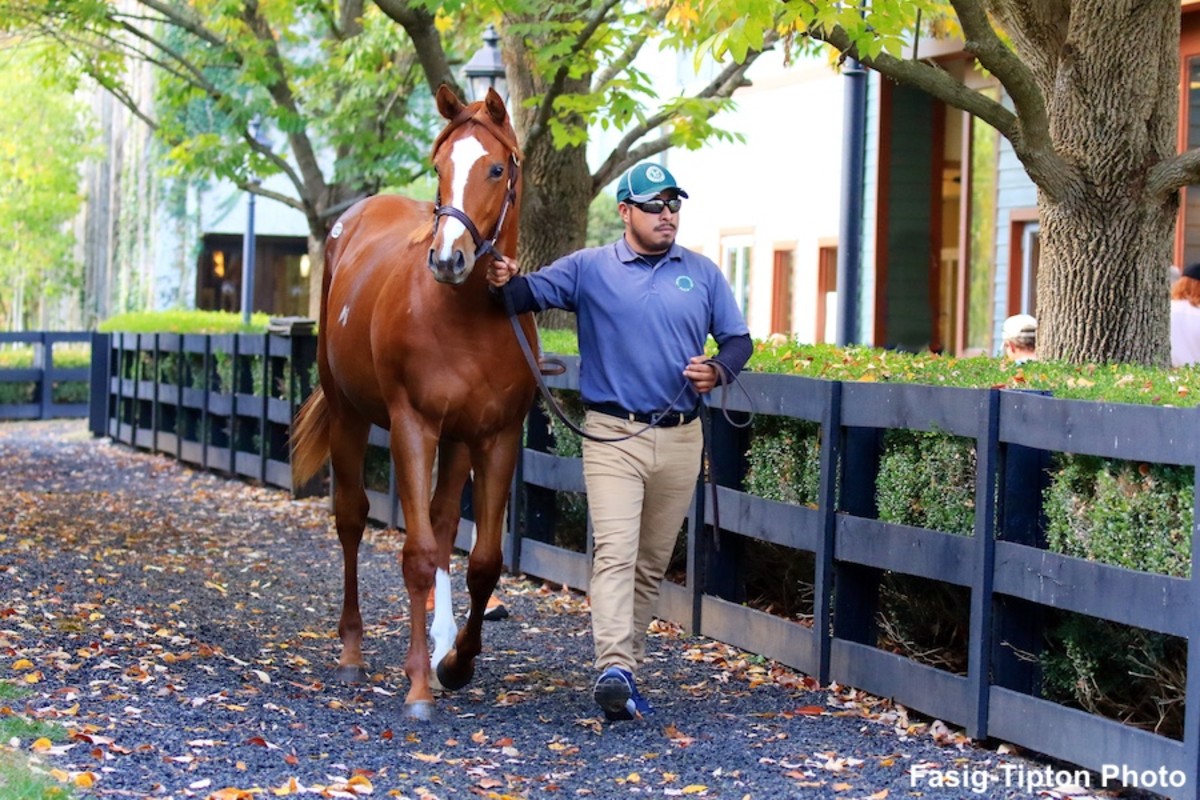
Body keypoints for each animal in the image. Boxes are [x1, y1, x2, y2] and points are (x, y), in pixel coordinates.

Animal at [290, 86, 535, 719]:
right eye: (439, 167)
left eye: (495, 169)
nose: (448, 259)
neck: (468, 319)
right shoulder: (412, 427)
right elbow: (418, 554)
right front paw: (420, 684)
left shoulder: (496, 436)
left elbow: (483, 561)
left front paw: (457, 662)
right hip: (350, 416)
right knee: (352, 520)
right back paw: (353, 653)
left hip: (456, 440)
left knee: (446, 525)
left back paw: (442, 641)